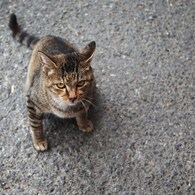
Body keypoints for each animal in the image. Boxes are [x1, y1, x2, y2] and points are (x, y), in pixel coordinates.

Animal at [9, 13, 96, 152]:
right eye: (60, 85)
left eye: (81, 83)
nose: (72, 97)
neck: (66, 108)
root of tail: (47, 36)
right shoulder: (31, 99)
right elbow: (35, 125)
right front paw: (39, 140)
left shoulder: (87, 95)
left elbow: (82, 111)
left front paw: (83, 123)